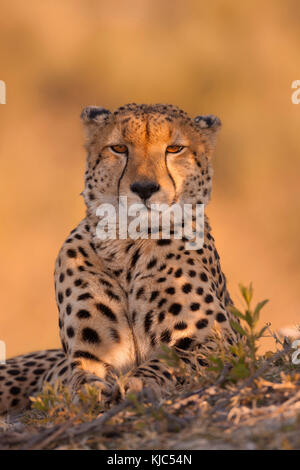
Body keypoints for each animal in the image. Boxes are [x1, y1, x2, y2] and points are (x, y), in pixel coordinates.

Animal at [0, 102, 239, 412]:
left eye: (174, 149)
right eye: (119, 148)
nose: (144, 188)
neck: (129, 243)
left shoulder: (218, 341)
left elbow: (174, 360)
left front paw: (140, 381)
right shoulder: (89, 356)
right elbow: (78, 379)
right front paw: (91, 392)